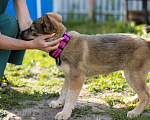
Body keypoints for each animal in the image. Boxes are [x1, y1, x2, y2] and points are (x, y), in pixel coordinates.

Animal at [20, 12, 150, 119]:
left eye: (31, 29)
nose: (20, 32)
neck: (63, 44)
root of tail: (146, 42)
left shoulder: (77, 78)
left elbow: (70, 97)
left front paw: (65, 113)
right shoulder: (68, 76)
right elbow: (63, 91)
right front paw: (58, 103)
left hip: (132, 75)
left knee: (145, 95)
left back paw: (135, 112)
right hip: (134, 75)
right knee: (146, 90)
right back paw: (132, 101)